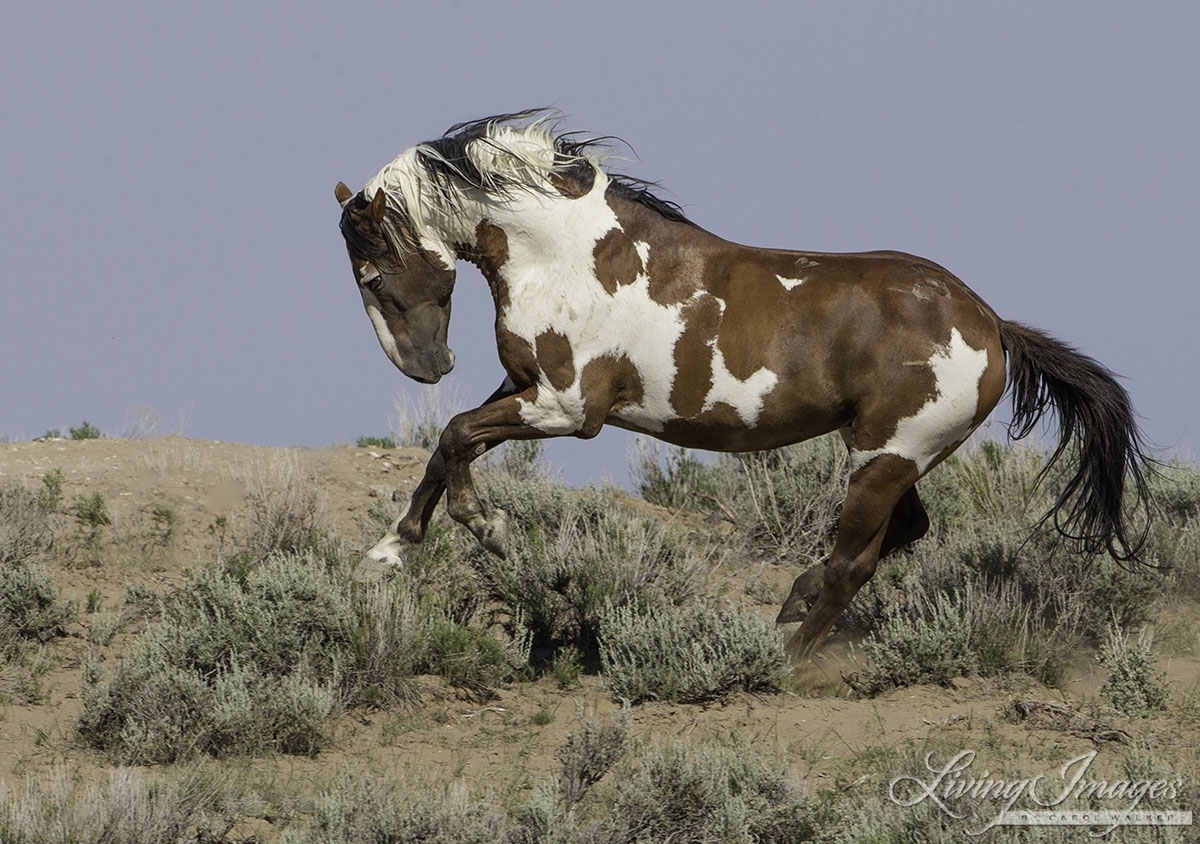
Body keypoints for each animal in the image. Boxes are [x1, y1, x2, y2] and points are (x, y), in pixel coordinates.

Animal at [331, 109, 1152, 657]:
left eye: (371, 274)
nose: (426, 366)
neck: (568, 255)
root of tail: (991, 326)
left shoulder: (568, 406)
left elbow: (456, 434)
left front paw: (488, 530)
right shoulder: (525, 385)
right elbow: (449, 446)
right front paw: (390, 552)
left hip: (887, 456)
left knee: (856, 560)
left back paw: (786, 656)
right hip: (893, 455)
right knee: (902, 535)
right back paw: (793, 604)